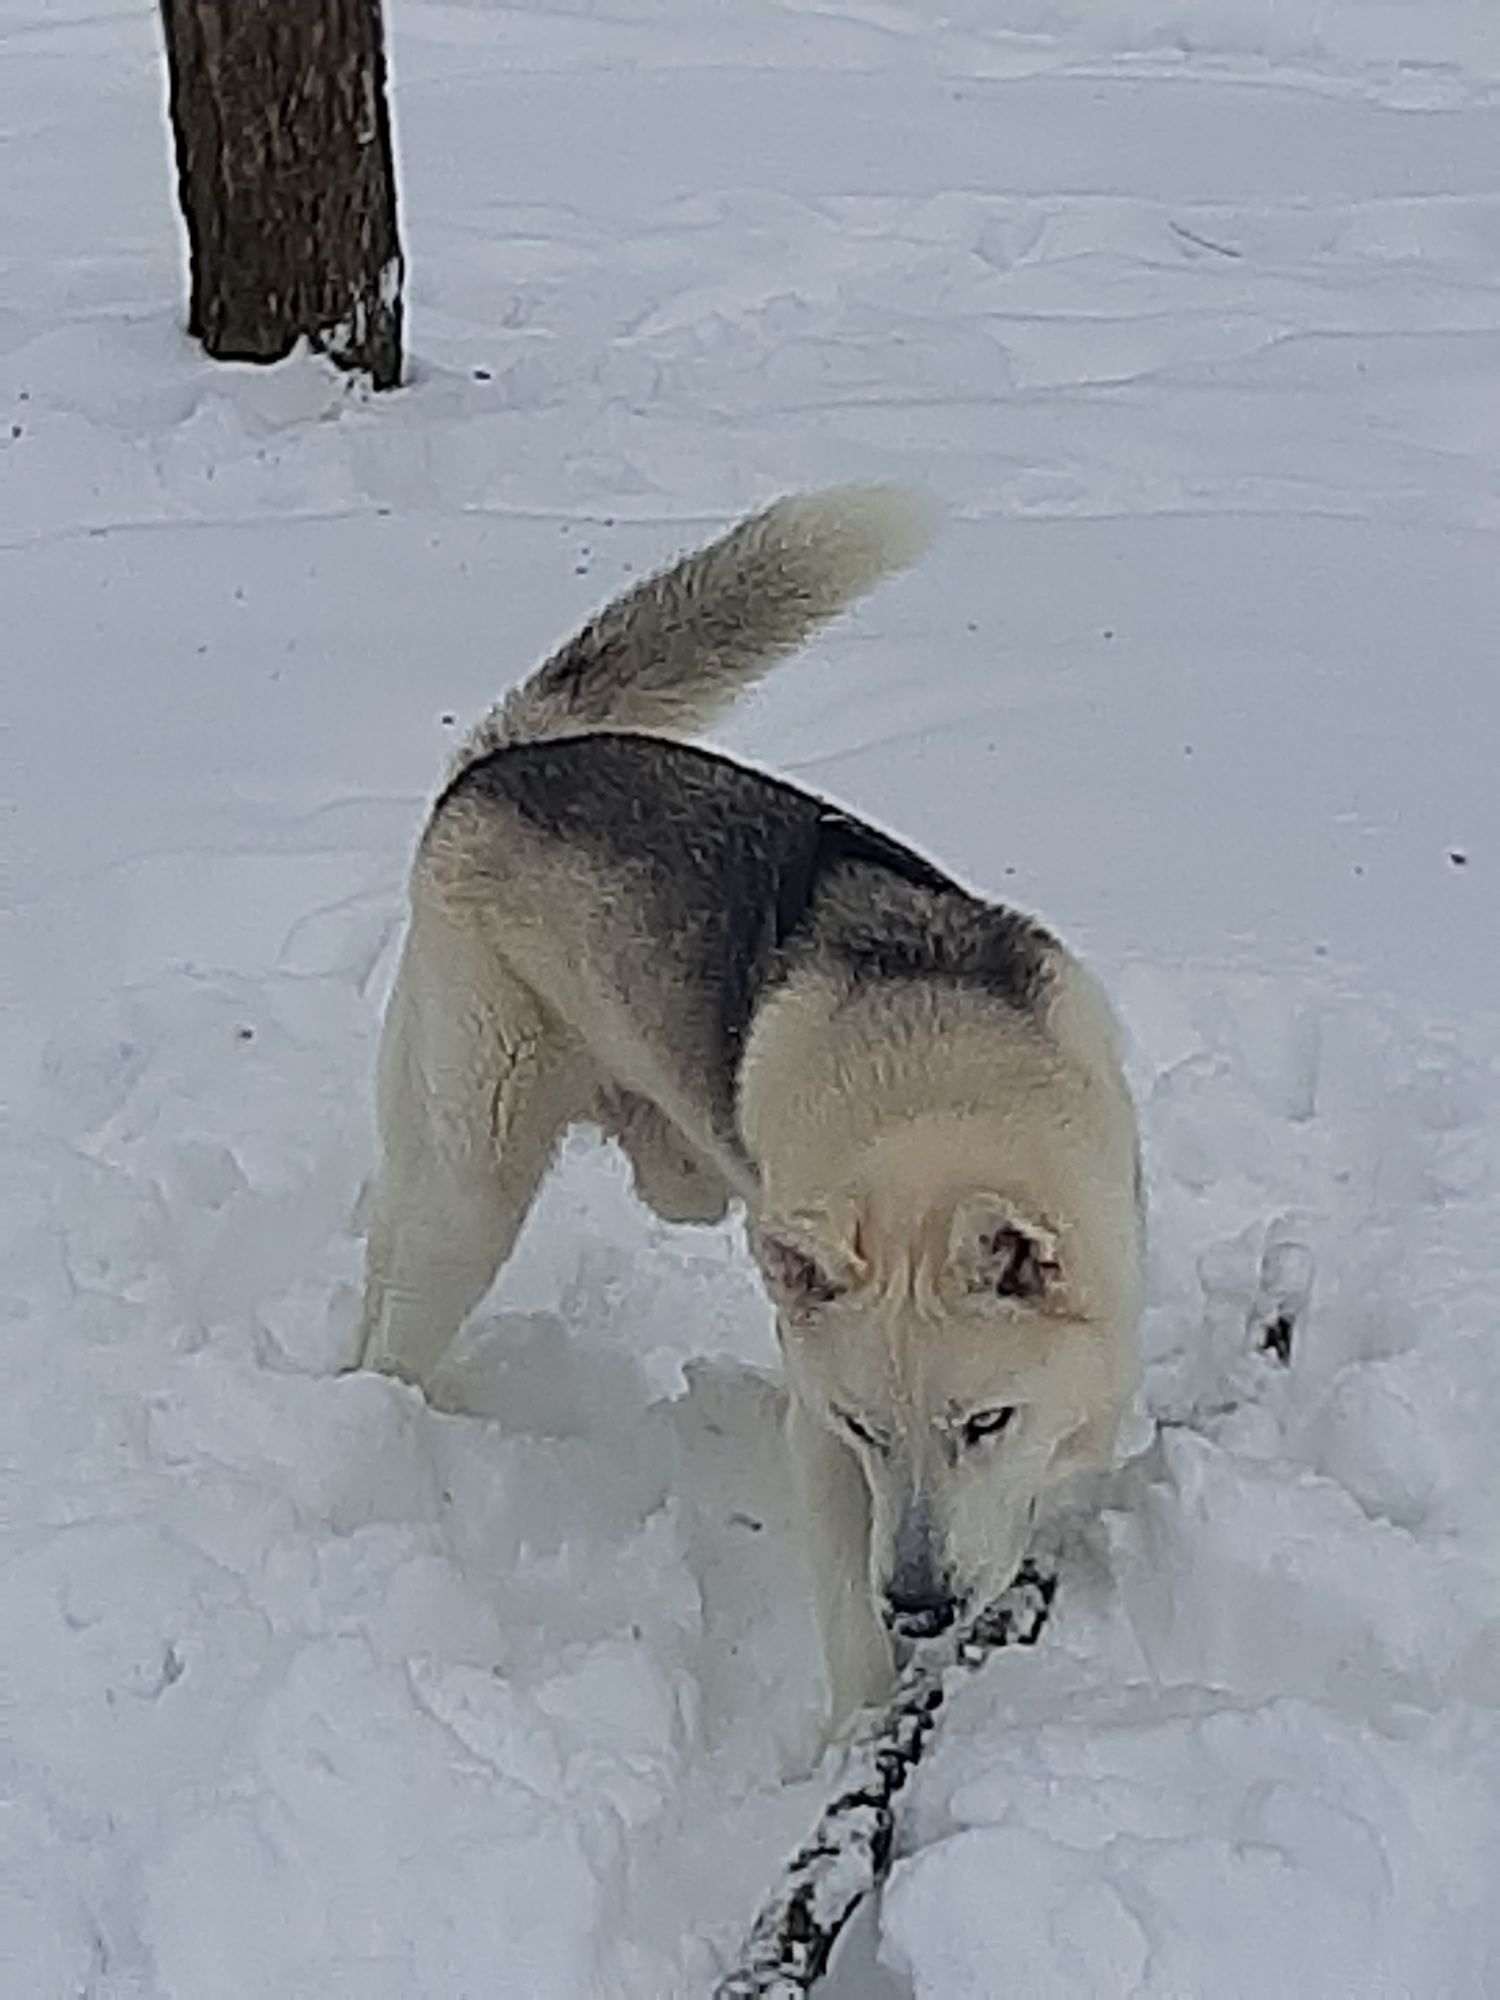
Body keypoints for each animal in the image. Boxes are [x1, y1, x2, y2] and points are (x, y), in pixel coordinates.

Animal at [358, 492, 1144, 1728]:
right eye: (870, 1428)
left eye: (984, 1423)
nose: (921, 1604)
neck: (933, 1090)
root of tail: (504, 757)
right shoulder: (822, 1437)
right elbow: (849, 1623)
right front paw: (857, 1738)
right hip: (474, 1191)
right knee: (398, 1324)